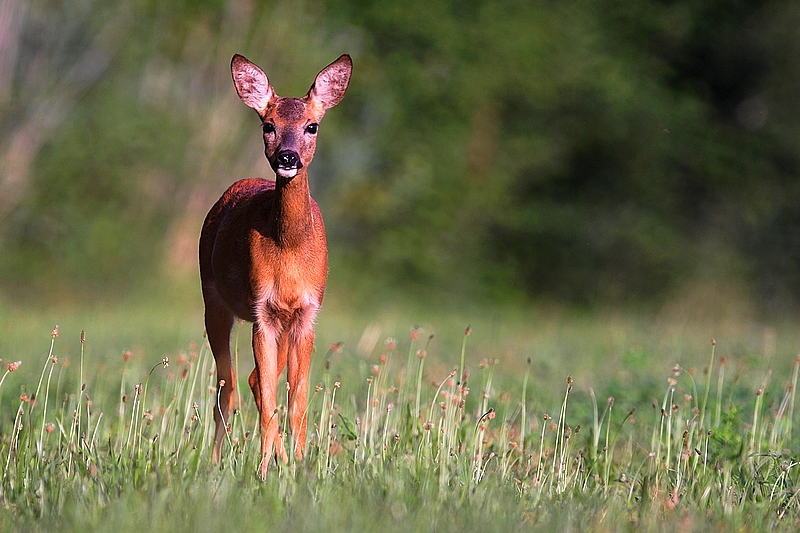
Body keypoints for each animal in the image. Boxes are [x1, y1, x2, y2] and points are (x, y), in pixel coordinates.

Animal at [199, 54, 350, 478]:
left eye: (312, 125)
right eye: (268, 125)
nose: (287, 157)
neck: (289, 248)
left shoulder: (306, 313)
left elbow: (297, 404)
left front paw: (299, 467)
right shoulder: (261, 311)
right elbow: (268, 404)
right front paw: (264, 472)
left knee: (250, 380)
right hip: (213, 301)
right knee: (227, 388)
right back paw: (215, 463)